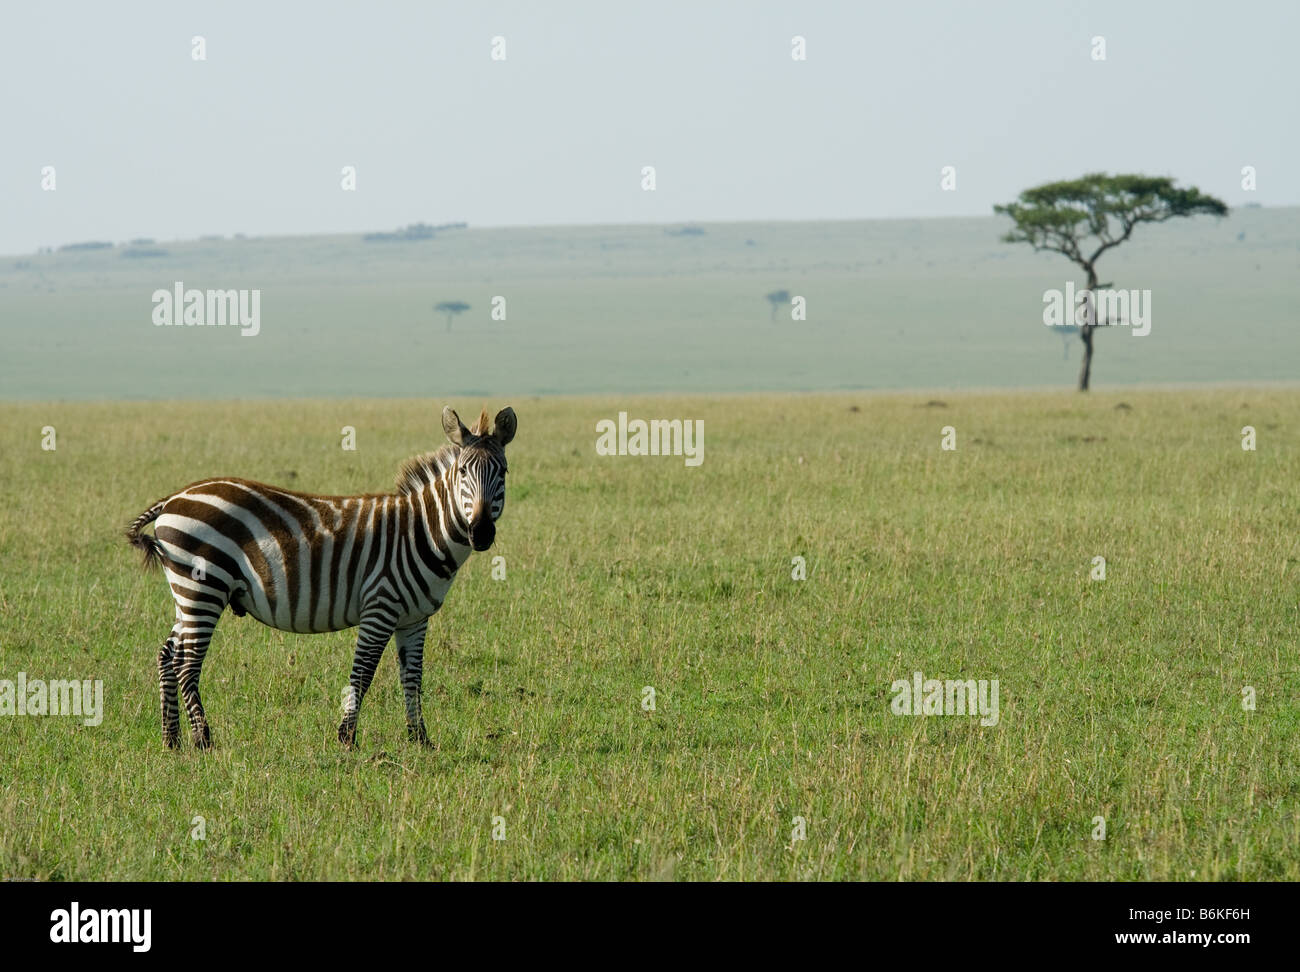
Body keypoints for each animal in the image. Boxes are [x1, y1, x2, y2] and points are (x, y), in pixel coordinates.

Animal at [124, 404, 516, 750]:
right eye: (462, 472)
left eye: (504, 472)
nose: (481, 532)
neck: (421, 532)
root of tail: (173, 499)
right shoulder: (380, 607)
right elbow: (363, 672)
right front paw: (347, 738)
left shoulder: (414, 618)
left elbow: (413, 677)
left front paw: (420, 739)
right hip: (202, 588)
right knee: (186, 664)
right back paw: (203, 740)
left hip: (188, 594)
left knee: (166, 655)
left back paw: (172, 739)